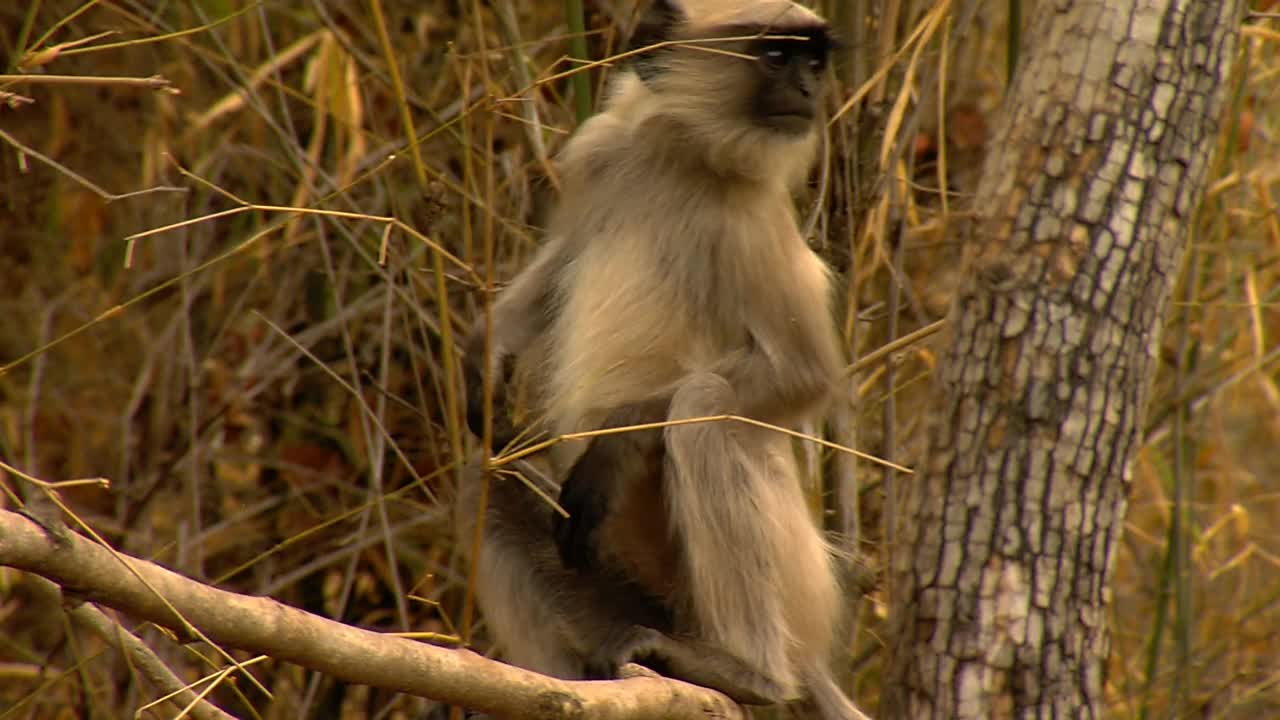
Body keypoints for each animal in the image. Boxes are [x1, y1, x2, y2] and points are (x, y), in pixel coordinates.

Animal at [460, 1, 870, 717]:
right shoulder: (600, 150)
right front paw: (487, 351)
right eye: (777, 56)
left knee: (704, 407)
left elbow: (804, 373)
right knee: (489, 481)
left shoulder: (755, 216)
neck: (681, 152)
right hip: (621, 583)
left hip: (791, 588)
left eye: (813, 60)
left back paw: (749, 675)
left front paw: (619, 444)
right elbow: (564, 260)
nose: (807, 90)